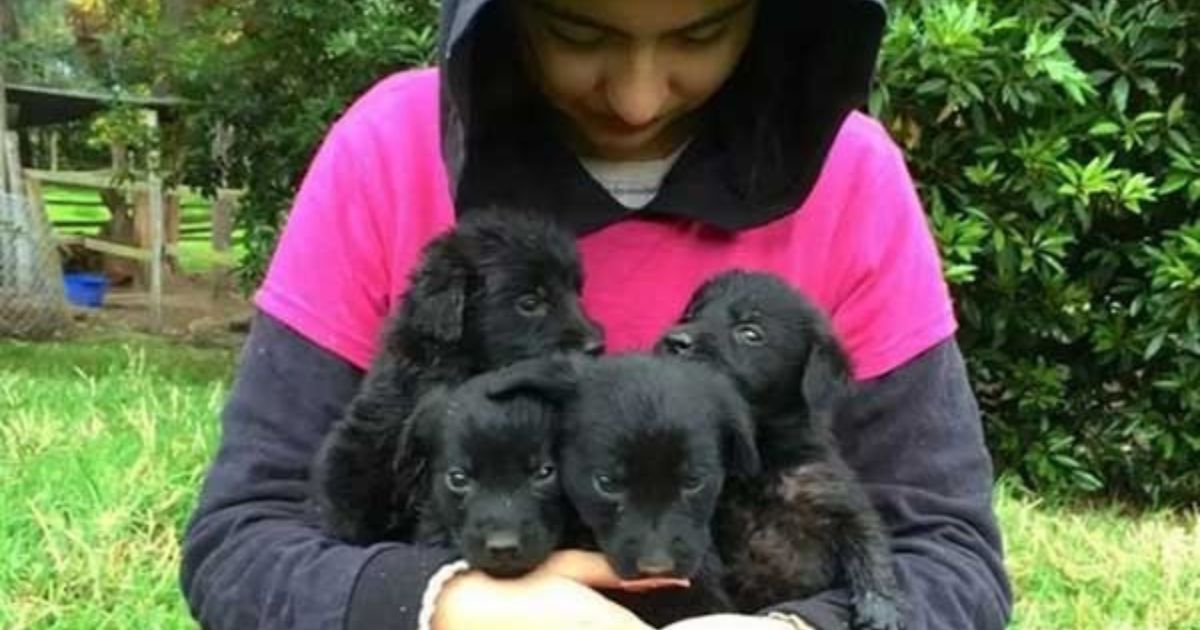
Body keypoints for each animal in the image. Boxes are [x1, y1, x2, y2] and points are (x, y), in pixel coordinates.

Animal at [662, 270, 902, 628]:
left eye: (750, 332)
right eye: (690, 315)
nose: (673, 340)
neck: (762, 459)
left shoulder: (834, 494)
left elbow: (869, 545)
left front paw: (881, 608)